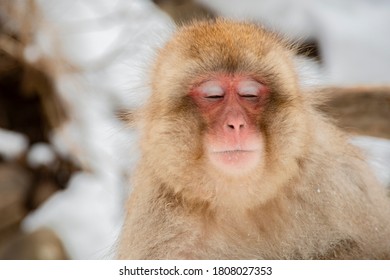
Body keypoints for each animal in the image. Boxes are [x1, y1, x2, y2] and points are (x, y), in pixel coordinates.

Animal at [117, 19, 390, 260]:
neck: (242, 202)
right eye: (213, 95)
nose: (236, 124)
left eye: (249, 94)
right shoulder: (159, 227)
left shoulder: (339, 179)